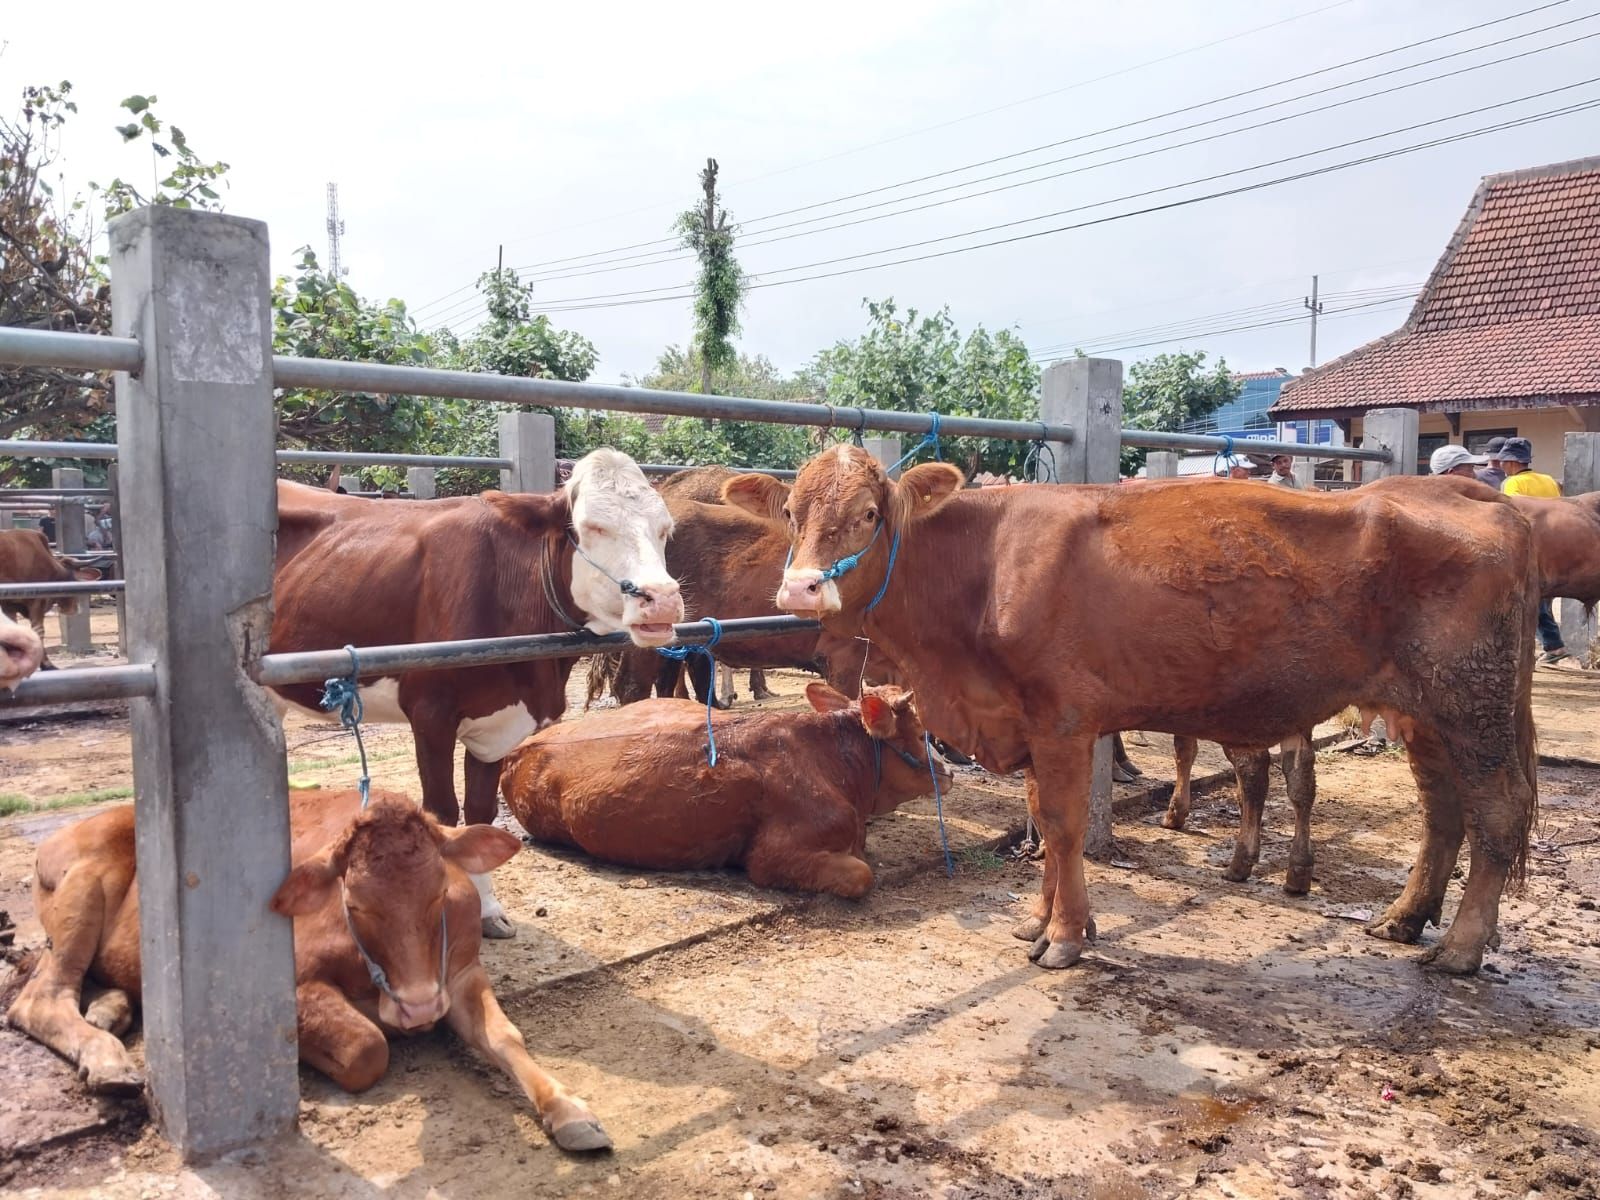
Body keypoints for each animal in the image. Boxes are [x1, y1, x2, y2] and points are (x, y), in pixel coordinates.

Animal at [3, 790, 611, 1158]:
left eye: (440, 892)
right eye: (355, 903)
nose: (418, 1008)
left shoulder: (458, 973)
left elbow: (507, 1037)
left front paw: (568, 1109)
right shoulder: (287, 986)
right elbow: (367, 1048)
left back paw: (110, 1012)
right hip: (84, 888)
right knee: (39, 997)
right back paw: (106, 1057)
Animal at [270, 451, 681, 940]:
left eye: (665, 529)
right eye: (593, 526)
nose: (663, 599)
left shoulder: (500, 725)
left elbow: (481, 814)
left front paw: (487, 911)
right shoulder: (430, 714)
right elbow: (443, 813)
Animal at [732, 451, 1542, 979]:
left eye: (868, 514)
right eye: (790, 512)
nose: (800, 589)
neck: (981, 569)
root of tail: (1475, 497)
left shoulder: (1062, 720)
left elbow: (1062, 828)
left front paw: (1064, 937)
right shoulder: (1028, 725)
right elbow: (1040, 818)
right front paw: (1044, 919)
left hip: (1474, 706)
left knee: (1498, 812)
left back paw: (1462, 948)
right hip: (1427, 715)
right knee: (1443, 813)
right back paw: (1404, 917)